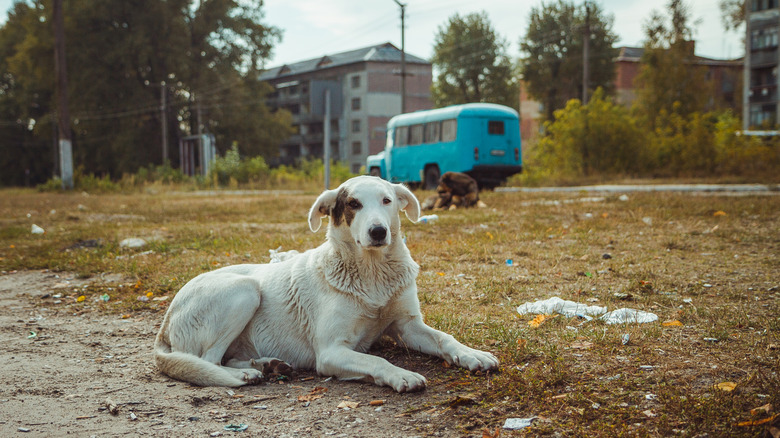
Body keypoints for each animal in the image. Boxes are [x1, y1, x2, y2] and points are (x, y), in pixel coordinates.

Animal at [154, 176, 500, 392]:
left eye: (387, 201)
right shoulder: (332, 351)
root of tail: (165, 322)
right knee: (208, 361)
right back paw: (245, 373)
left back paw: (268, 365)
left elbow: (445, 338)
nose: (378, 231)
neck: (372, 273)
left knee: (226, 357)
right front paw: (401, 374)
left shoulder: (408, 325)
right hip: (244, 290)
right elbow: (376, 359)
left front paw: (472, 354)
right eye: (353, 204)